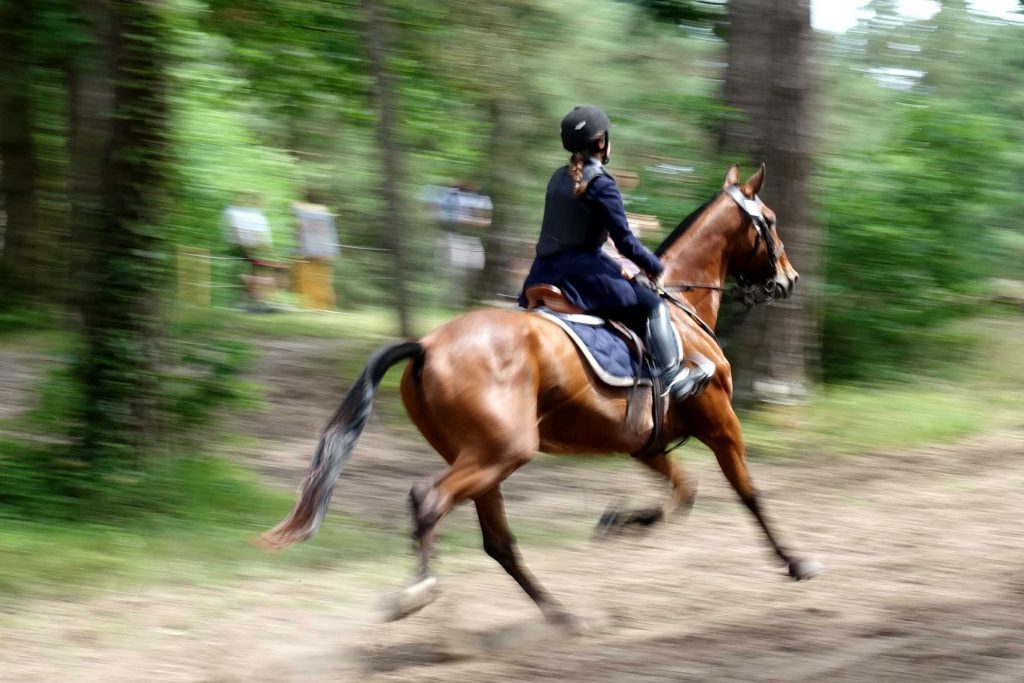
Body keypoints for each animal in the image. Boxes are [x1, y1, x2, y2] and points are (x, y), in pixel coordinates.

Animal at [262, 163, 823, 626]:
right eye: (770, 221)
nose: (789, 279)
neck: (680, 308)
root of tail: (426, 345)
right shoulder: (720, 422)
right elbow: (748, 493)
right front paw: (795, 562)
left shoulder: (644, 444)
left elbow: (682, 494)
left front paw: (620, 521)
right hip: (503, 451)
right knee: (430, 501)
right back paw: (418, 592)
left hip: (480, 456)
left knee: (498, 542)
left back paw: (560, 614)